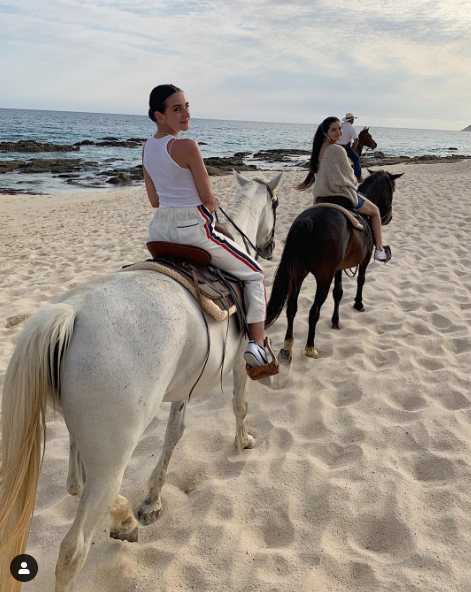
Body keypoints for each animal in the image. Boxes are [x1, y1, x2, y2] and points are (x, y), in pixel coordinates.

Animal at [0, 169, 282, 588]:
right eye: (275, 206)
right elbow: (239, 404)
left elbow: (174, 433)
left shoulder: (183, 387)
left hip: (86, 440)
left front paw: (150, 502)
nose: (268, 247)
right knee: (72, 549)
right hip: (113, 454)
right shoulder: (236, 364)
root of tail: (71, 312)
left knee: (75, 485)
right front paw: (243, 441)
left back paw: (125, 519)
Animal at [268, 170, 404, 360]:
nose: (389, 217)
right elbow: (361, 280)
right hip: (323, 278)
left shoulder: (337, 269)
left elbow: (338, 292)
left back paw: (287, 347)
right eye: (392, 189)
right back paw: (310, 347)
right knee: (313, 311)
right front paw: (358, 304)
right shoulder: (364, 260)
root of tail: (308, 221)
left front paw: (335, 321)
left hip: (297, 275)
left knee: (292, 308)